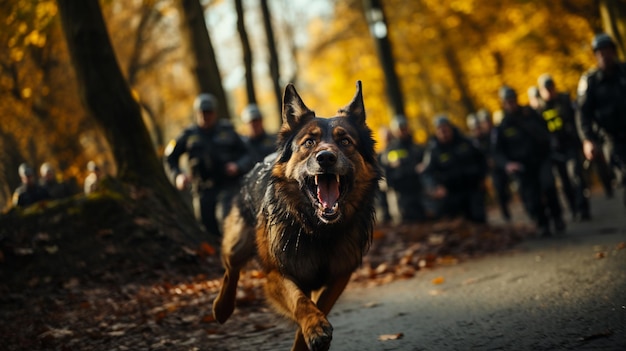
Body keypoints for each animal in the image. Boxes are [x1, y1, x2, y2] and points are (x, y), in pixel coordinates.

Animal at [212, 81, 380, 350]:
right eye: (309, 142)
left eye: (345, 141)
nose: (326, 157)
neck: (317, 229)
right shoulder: (276, 274)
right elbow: (300, 302)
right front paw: (315, 327)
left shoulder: (339, 276)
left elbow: (317, 306)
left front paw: (310, 333)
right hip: (238, 244)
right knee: (231, 269)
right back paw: (222, 308)